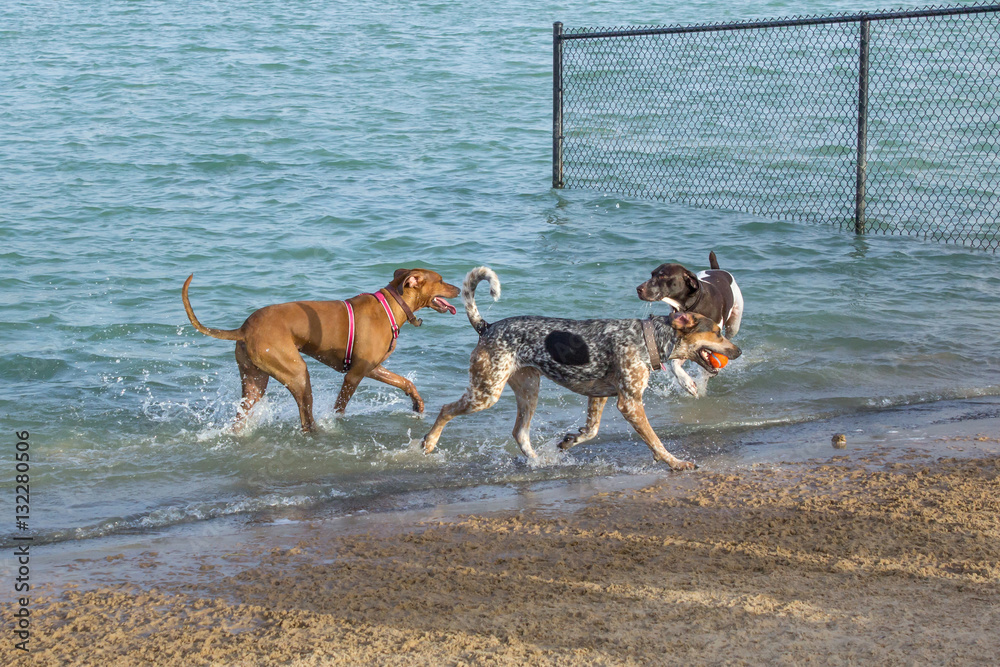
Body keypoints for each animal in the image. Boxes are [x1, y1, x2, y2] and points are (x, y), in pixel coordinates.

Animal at [182, 268, 460, 432]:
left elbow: (405, 382)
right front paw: (336, 423)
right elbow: (339, 408)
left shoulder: (371, 367)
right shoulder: (354, 375)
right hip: (297, 374)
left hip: (254, 382)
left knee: (241, 417)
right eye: (441, 280)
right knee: (306, 418)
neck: (392, 304)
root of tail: (243, 328)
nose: (458, 288)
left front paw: (418, 405)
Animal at [420, 267, 741, 470]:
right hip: (486, 394)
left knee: (520, 433)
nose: (738, 351)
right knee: (446, 410)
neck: (647, 338)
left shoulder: (598, 396)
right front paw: (675, 462)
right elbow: (656, 442)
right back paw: (429, 443)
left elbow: (591, 431)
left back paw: (538, 461)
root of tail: (485, 327)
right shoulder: (630, 403)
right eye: (717, 333)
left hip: (528, 389)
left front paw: (569, 441)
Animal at [635, 251, 744, 396]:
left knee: (730, 334)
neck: (690, 306)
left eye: (663, 275)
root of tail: (716, 269)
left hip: (734, 323)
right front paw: (686, 382)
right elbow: (675, 364)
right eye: (652, 274)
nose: (638, 289)